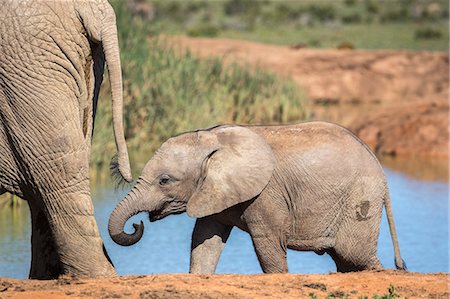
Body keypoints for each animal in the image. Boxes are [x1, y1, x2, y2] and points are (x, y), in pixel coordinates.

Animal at [108, 122, 404, 274]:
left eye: (165, 180)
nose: (136, 224)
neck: (212, 138)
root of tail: (380, 167)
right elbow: (205, 239)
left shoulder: (266, 193)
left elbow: (268, 244)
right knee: (347, 260)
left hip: (360, 196)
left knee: (355, 254)